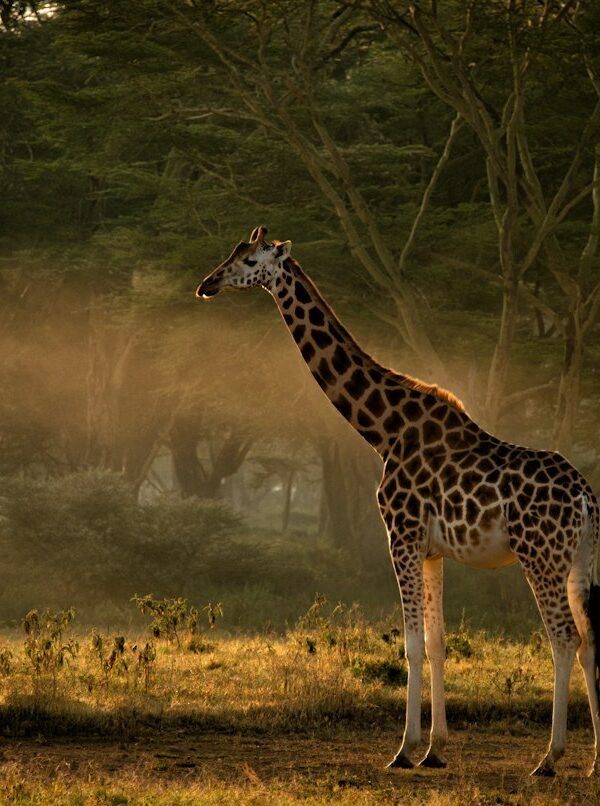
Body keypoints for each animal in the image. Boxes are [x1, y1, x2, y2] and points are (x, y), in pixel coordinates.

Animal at [196, 226, 600, 777]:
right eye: (232, 254)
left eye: (251, 260)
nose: (208, 284)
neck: (383, 431)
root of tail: (584, 497)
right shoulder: (432, 551)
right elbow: (437, 643)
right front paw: (436, 749)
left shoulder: (400, 536)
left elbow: (410, 644)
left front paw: (404, 750)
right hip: (580, 558)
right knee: (592, 640)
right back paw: (595, 761)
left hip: (540, 557)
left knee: (564, 638)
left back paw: (549, 758)